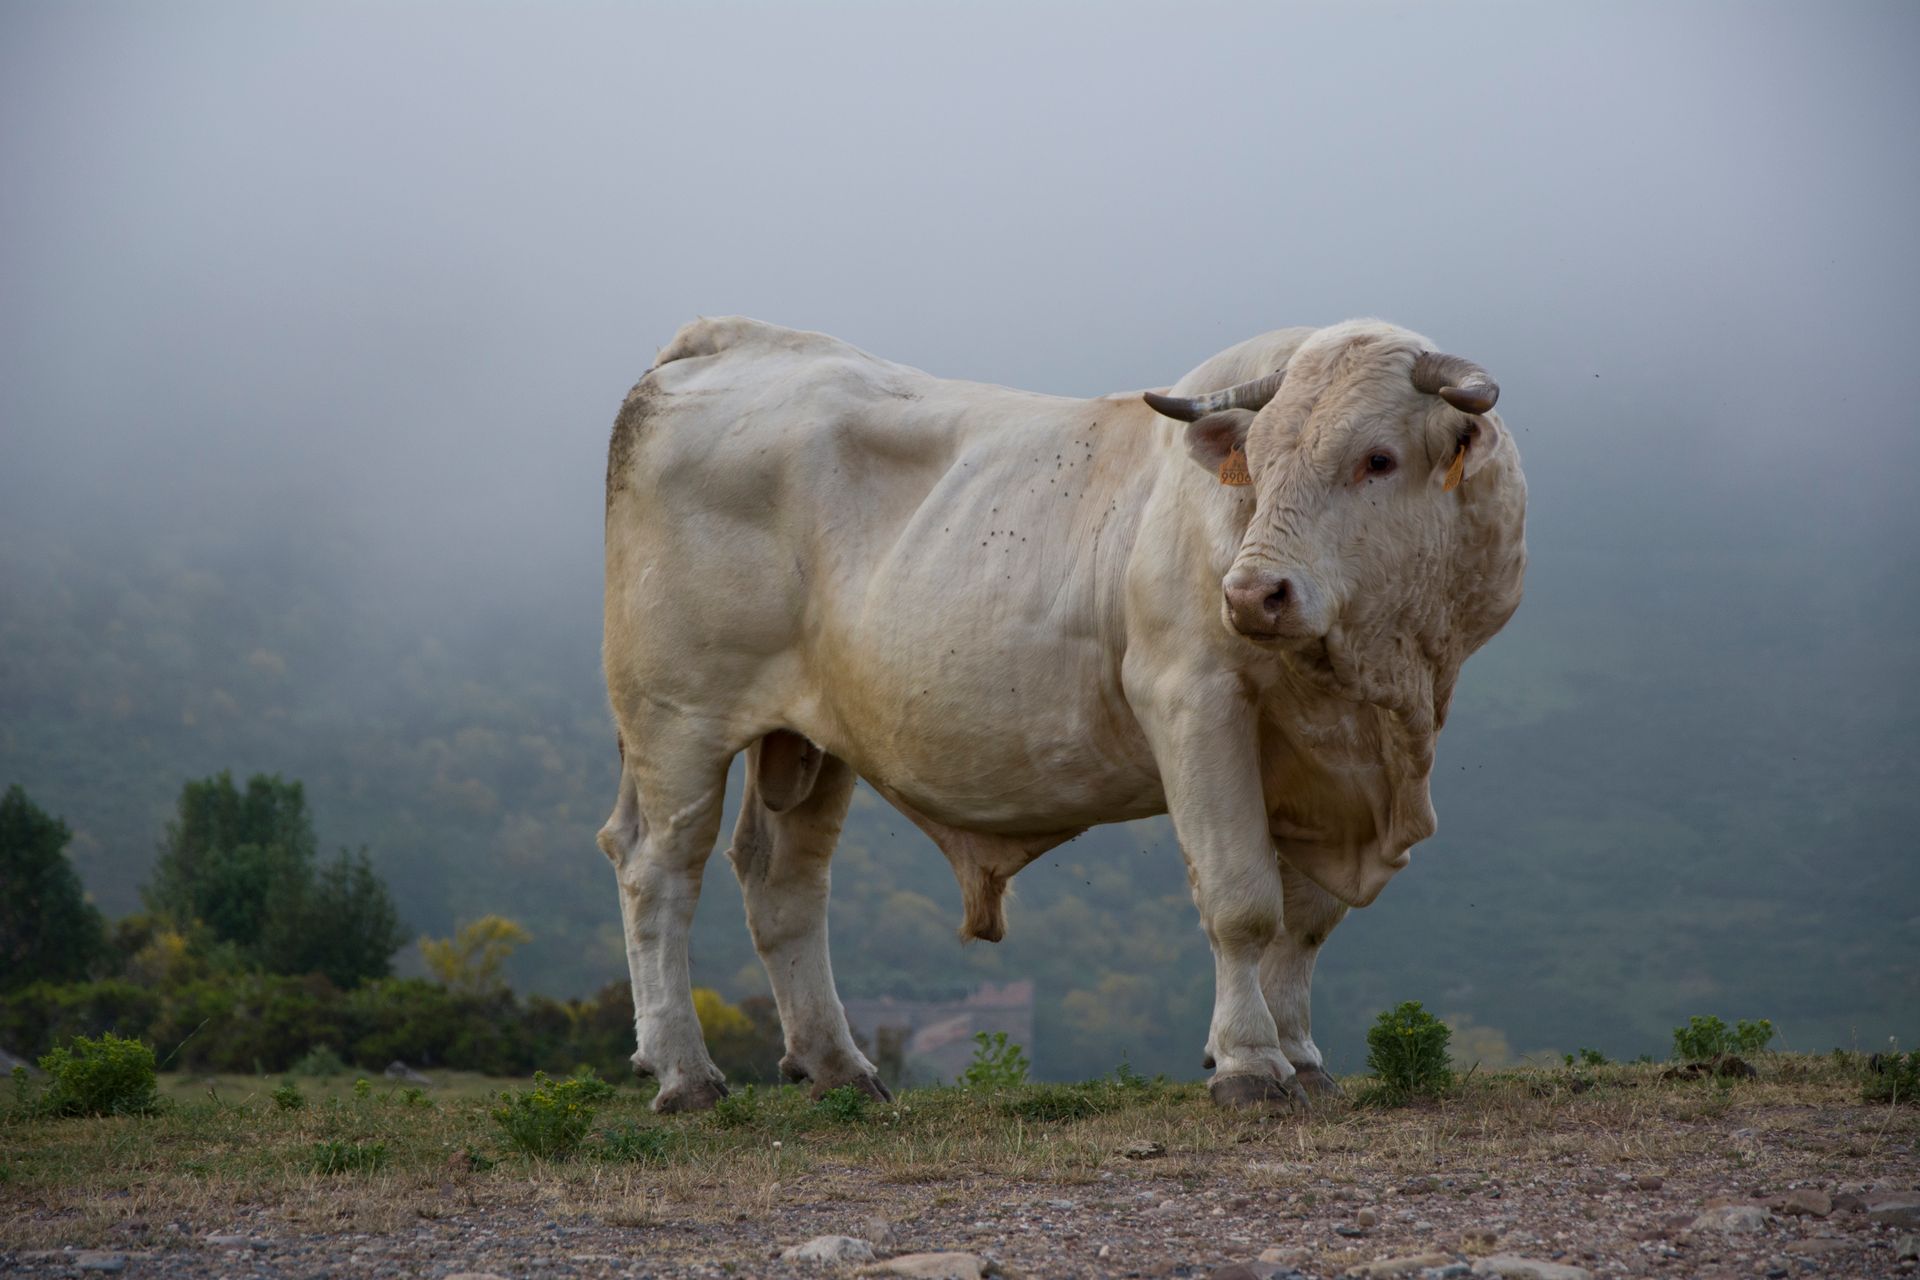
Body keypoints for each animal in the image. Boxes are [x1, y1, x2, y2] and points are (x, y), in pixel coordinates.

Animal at [598, 317, 1527, 1112]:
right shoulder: (1193, 700)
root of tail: (728, 339)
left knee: (784, 880)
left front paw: (1301, 1057)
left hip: (809, 738)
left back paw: (839, 1068)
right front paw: (1250, 1064)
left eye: (1378, 458)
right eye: (1257, 462)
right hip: (674, 718)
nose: (1251, 594)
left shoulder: (1320, 765)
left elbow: (1303, 924)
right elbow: (1243, 901)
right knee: (659, 869)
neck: (1380, 687)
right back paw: (686, 1075)